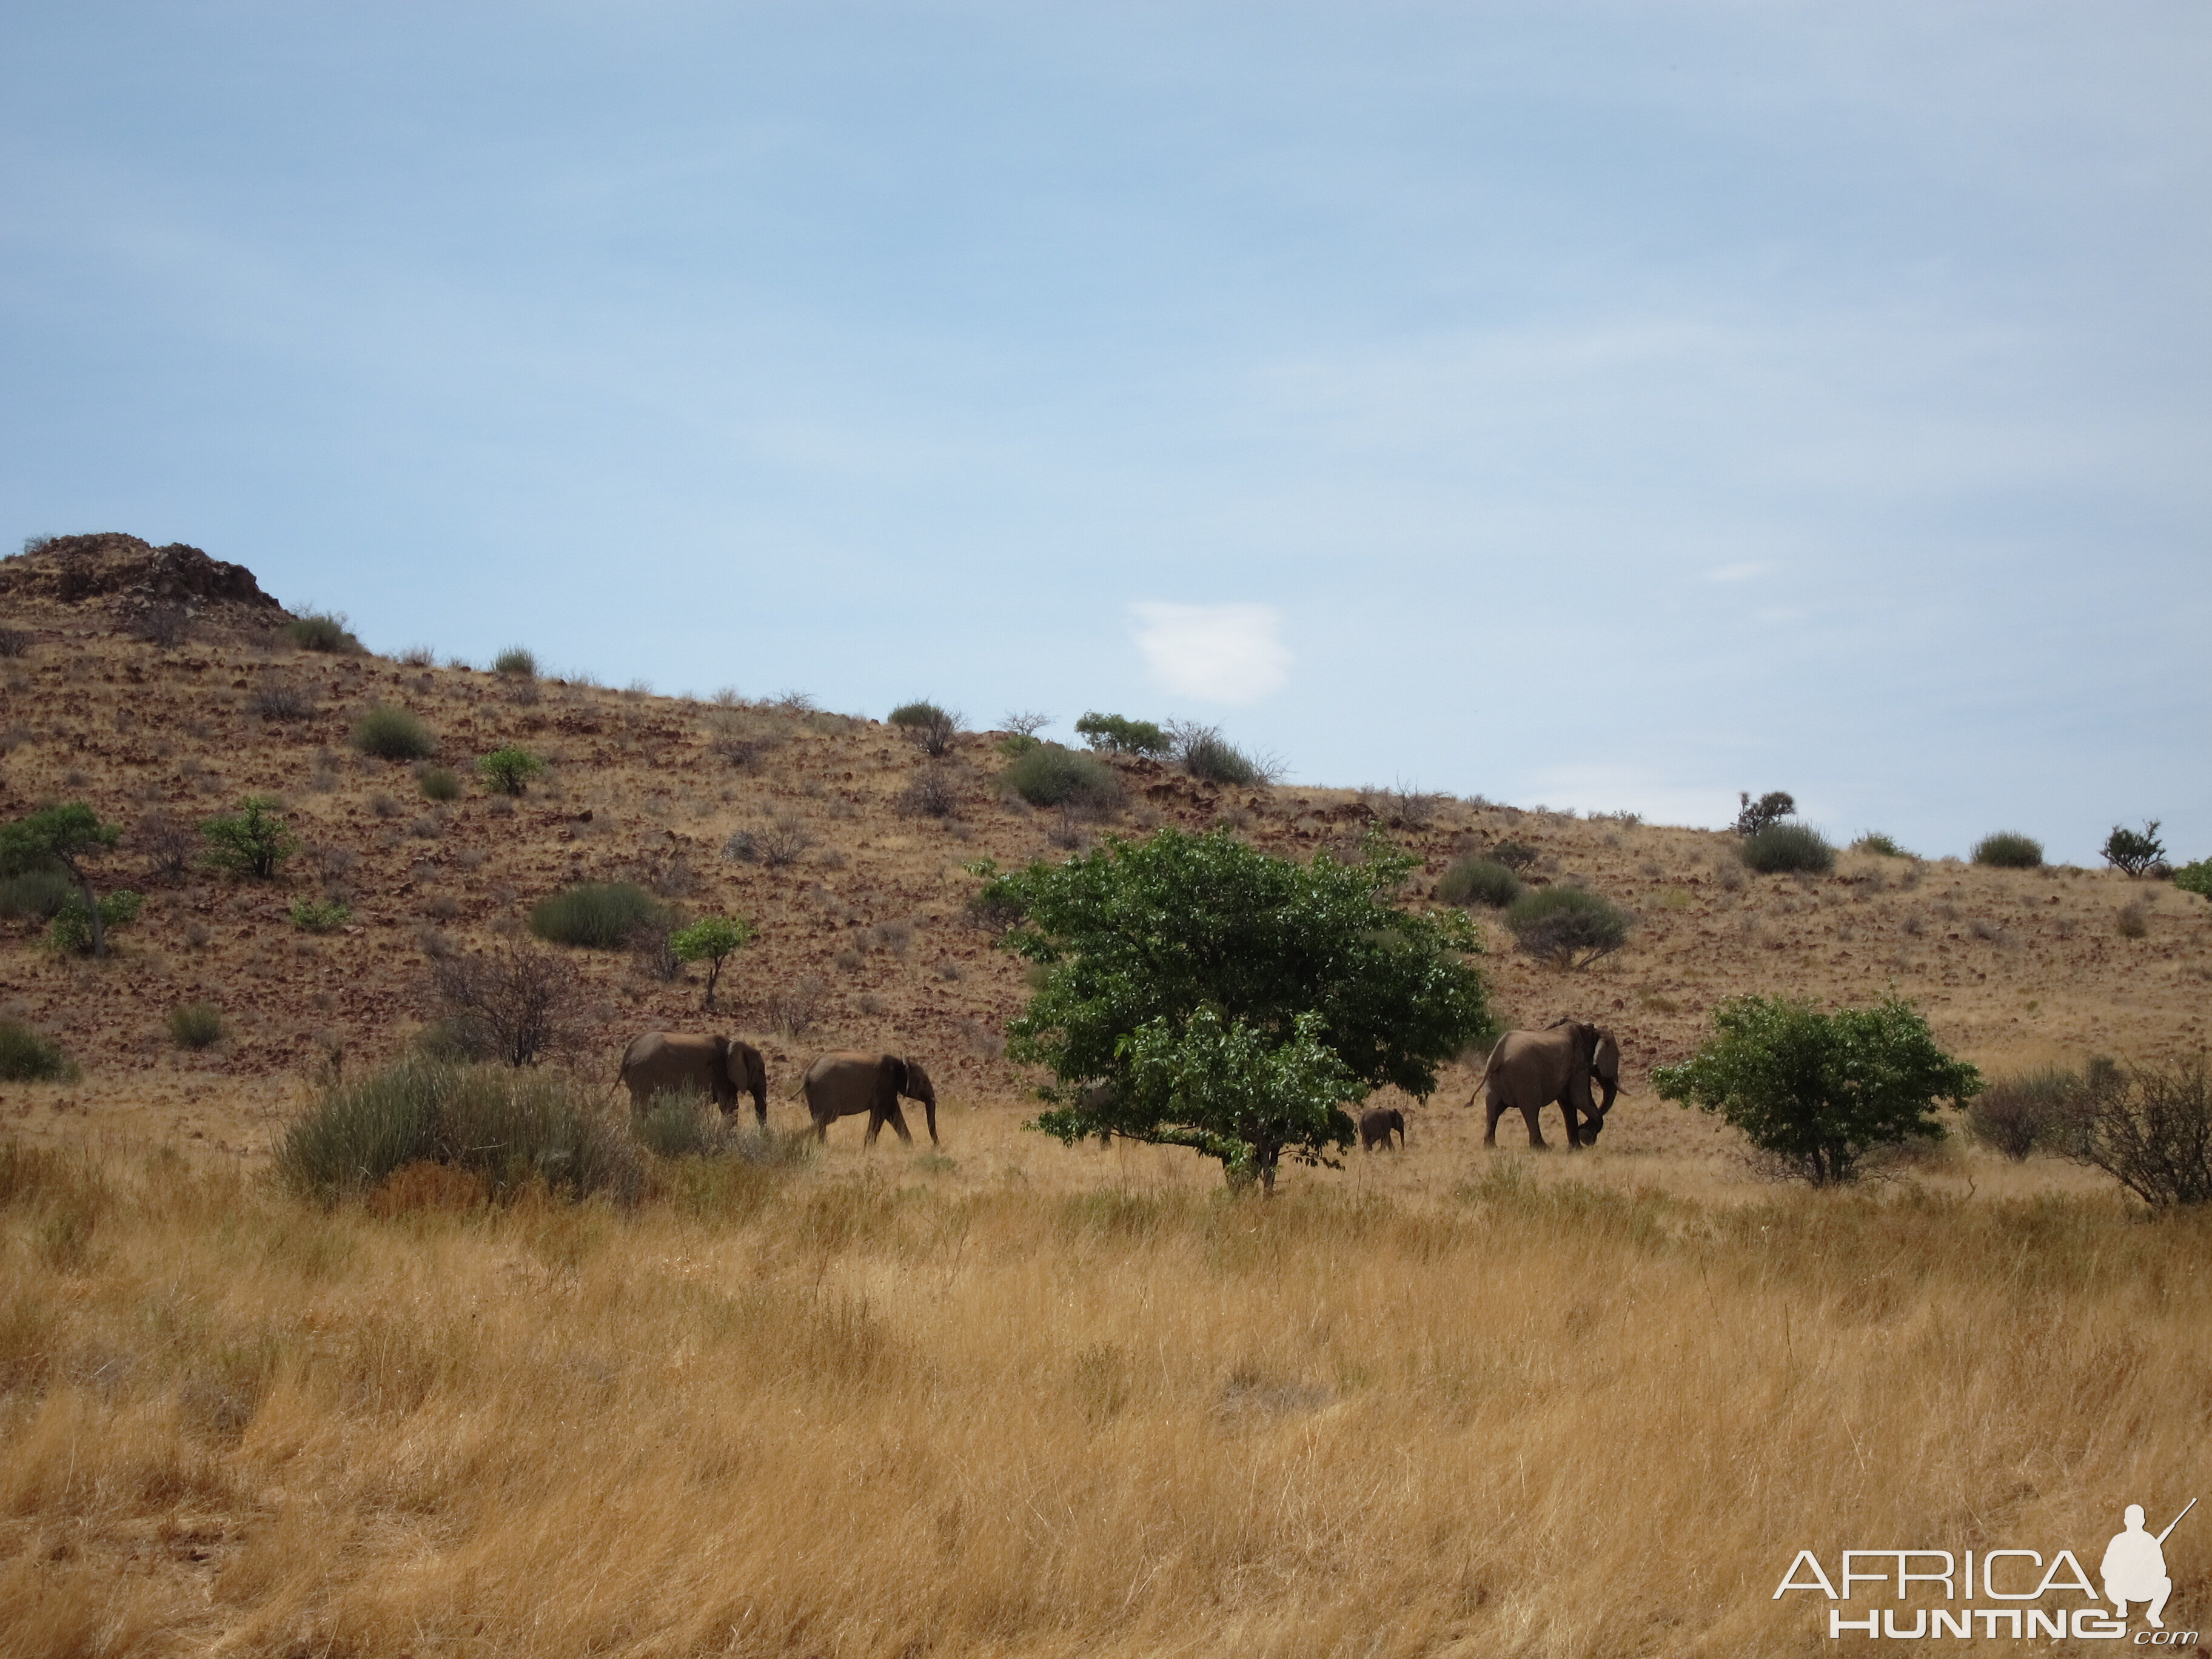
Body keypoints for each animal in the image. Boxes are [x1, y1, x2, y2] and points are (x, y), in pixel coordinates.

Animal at [615, 1039, 769, 1132]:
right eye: (760, 1070)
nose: (764, 1135)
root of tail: (627, 1057)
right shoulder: (721, 1075)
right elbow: (730, 1107)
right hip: (644, 1075)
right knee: (641, 1106)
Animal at [800, 1057, 937, 1150]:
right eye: (925, 1082)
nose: (936, 1146)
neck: (900, 1062)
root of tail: (808, 1074)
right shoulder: (885, 1085)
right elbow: (883, 1114)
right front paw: (868, 1149)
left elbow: (891, 1115)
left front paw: (909, 1147)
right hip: (825, 1092)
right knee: (825, 1119)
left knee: (819, 1120)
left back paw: (820, 1146)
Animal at [1469, 1022, 1627, 1150]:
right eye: (1617, 1056)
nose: (1585, 1127)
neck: (1591, 1032)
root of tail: (1497, 1055)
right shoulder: (1579, 1064)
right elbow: (1579, 1099)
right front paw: (1586, 1137)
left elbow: (1567, 1104)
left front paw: (1577, 1148)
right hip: (1525, 1077)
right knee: (1531, 1110)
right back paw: (1543, 1148)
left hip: (1494, 1081)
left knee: (1493, 1109)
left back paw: (1491, 1147)